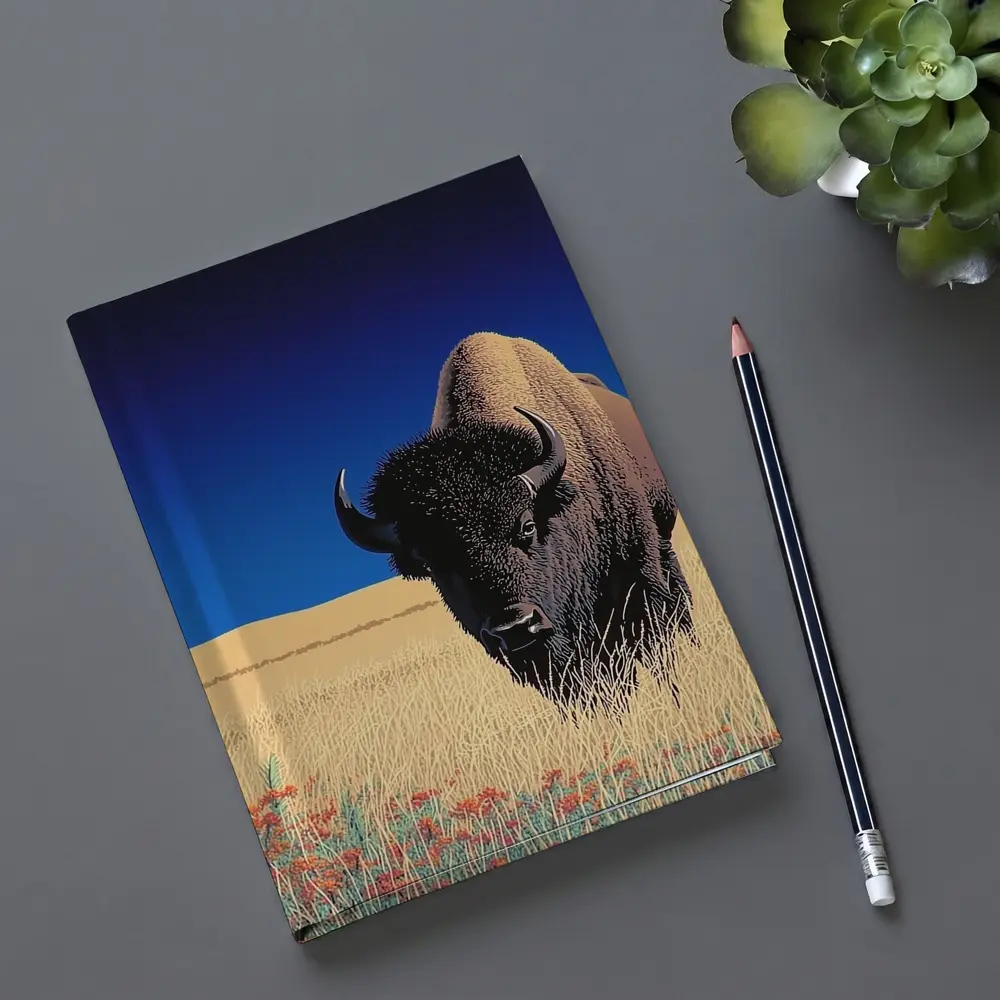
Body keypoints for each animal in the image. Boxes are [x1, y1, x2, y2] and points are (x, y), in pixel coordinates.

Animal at [335, 332, 694, 710]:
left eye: (527, 526)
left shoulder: (637, 579)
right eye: (430, 564)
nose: (516, 627)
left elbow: (655, 646)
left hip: (662, 540)